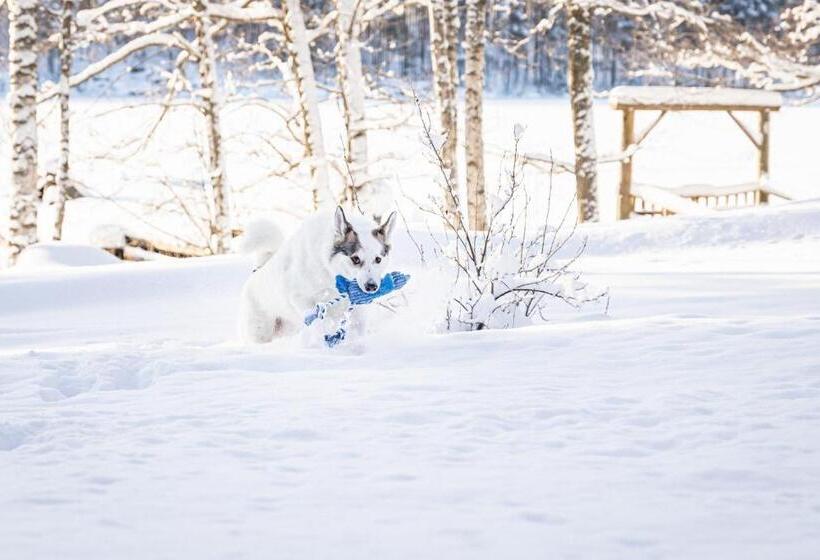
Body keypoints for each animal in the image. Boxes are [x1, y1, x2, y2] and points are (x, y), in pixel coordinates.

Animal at [237, 207, 398, 342]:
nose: (371, 287)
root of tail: (259, 269)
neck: (331, 275)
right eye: (355, 259)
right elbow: (319, 321)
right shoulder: (301, 298)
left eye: (378, 259)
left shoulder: (357, 308)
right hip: (261, 330)